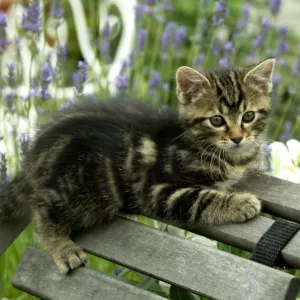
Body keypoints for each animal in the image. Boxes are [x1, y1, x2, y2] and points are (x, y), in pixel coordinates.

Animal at [0, 57, 274, 274]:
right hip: (76, 192)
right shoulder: (157, 190)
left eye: (248, 116)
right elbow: (204, 198)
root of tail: (32, 159)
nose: (237, 137)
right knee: (42, 214)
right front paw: (242, 203)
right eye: (216, 120)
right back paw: (63, 249)